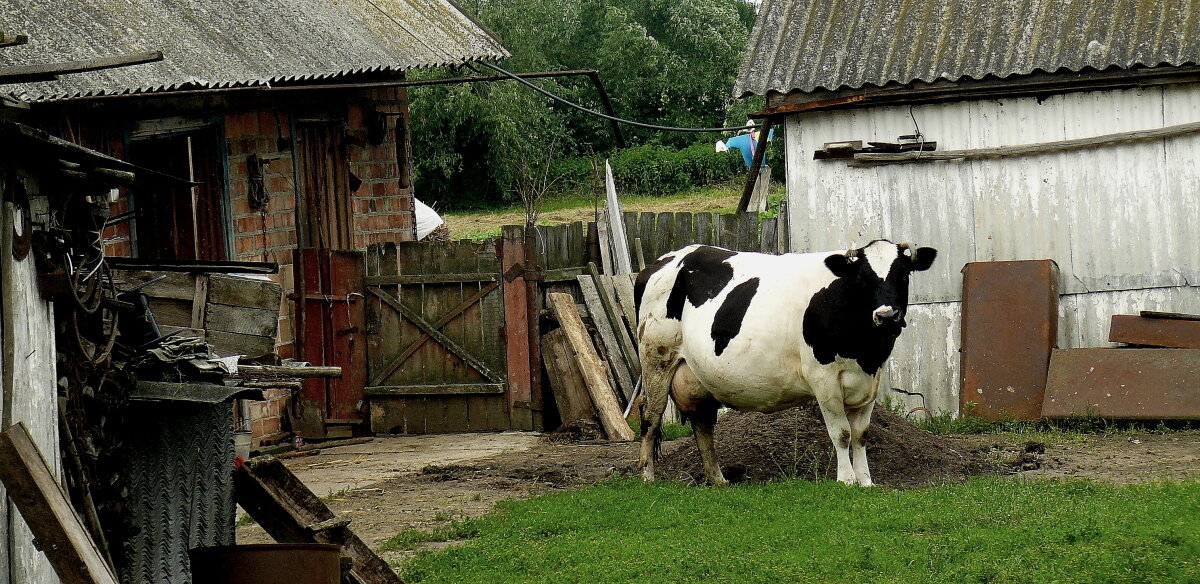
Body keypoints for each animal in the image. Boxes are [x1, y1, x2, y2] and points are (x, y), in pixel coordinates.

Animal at [638, 239, 936, 486]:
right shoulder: (824, 379)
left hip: (697, 376)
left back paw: (718, 479)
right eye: (863, 279)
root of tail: (667, 259)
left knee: (702, 424)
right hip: (656, 356)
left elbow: (861, 434)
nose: (886, 315)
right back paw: (647, 475)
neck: (866, 351)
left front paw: (865, 480)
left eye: (903, 275)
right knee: (651, 416)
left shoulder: (871, 380)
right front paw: (847, 480)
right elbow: (841, 433)